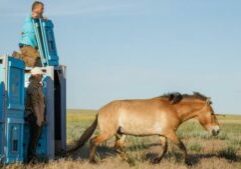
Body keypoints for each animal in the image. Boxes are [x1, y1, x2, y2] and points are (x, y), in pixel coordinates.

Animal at [71, 92, 220, 164]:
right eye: (212, 113)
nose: (217, 130)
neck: (173, 109)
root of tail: (100, 111)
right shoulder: (170, 133)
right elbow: (182, 146)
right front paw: (188, 163)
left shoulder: (162, 134)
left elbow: (165, 148)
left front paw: (155, 161)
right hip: (108, 132)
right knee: (94, 141)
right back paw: (93, 161)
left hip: (121, 133)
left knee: (117, 147)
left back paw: (130, 162)